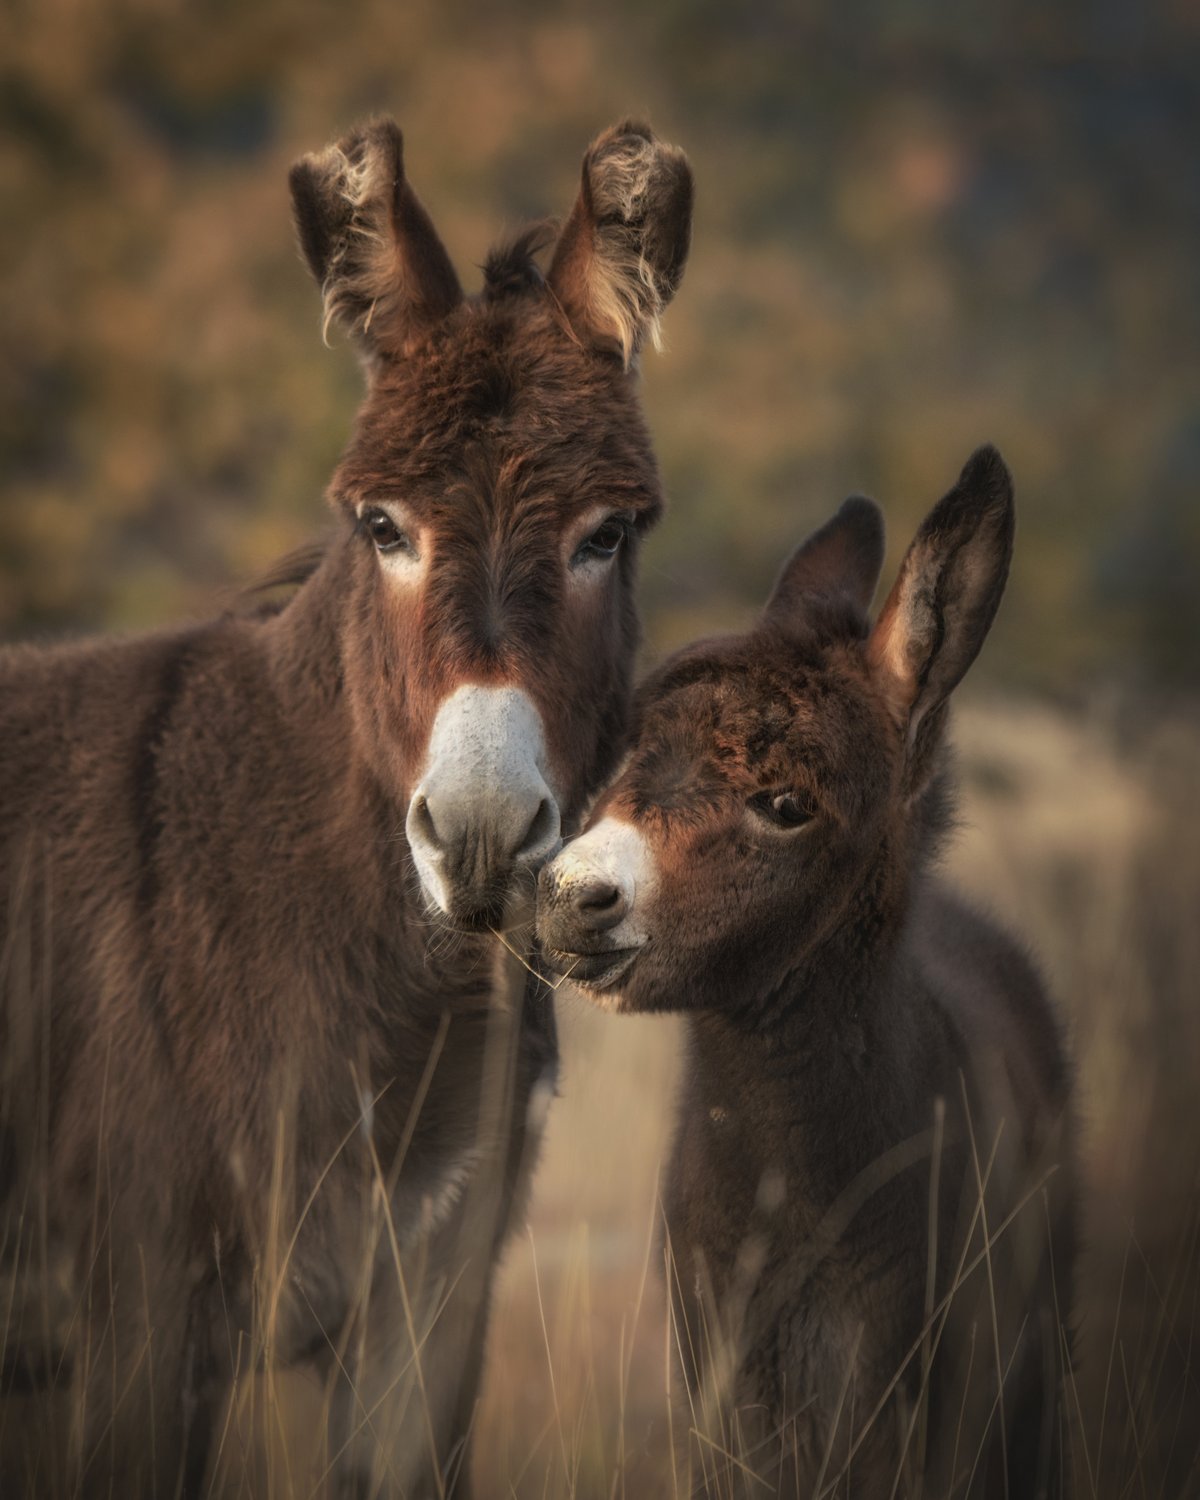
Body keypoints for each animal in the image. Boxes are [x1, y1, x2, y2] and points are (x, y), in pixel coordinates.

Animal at [540, 447, 1074, 1500]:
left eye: (786, 803)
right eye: (625, 753)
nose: (571, 897)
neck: (800, 1201)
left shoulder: (920, 1382)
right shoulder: (723, 1374)